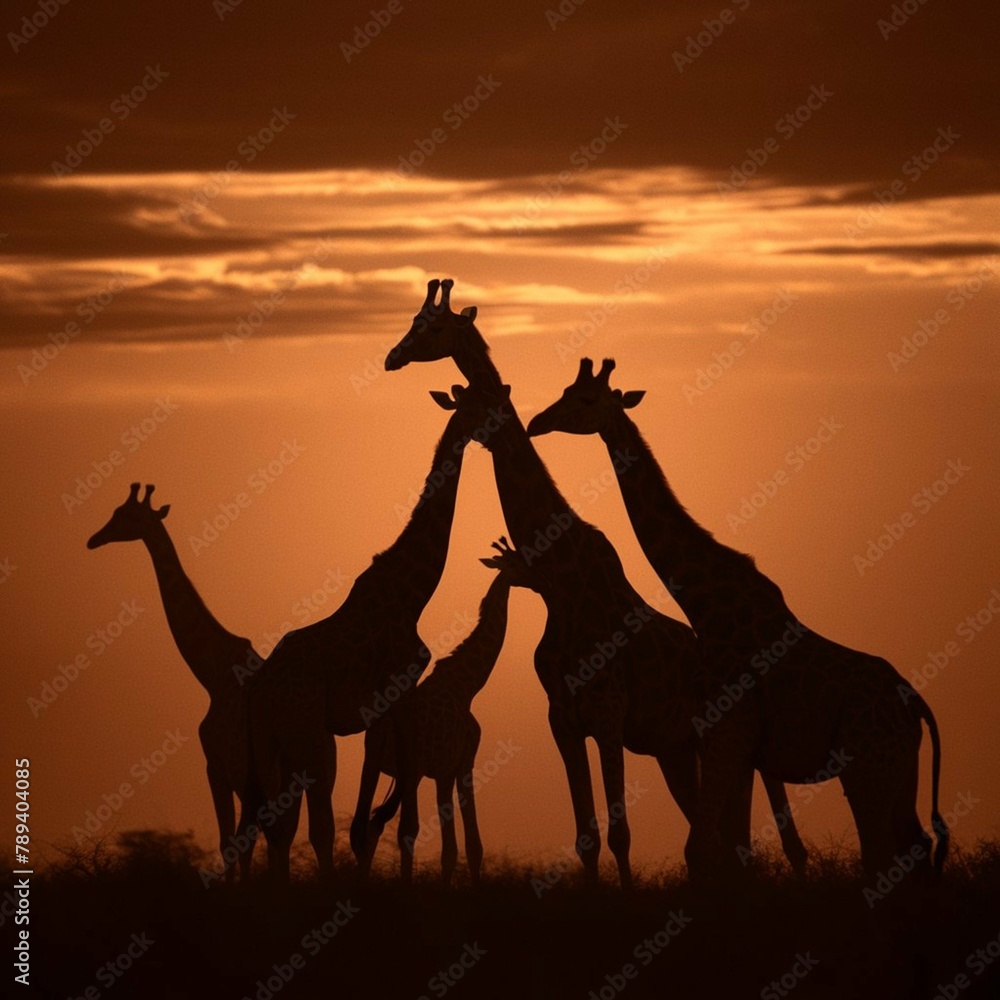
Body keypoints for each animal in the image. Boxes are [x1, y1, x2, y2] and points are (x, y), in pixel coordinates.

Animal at [87, 483, 259, 885]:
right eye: (115, 510)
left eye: (125, 515)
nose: (93, 539)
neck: (213, 675)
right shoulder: (222, 769)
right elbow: (231, 842)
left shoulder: (223, 764)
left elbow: (233, 843)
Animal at [248, 388, 480, 881]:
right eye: (476, 402)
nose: (501, 417)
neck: (414, 594)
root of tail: (259, 689)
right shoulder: (397, 691)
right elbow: (395, 814)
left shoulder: (380, 709)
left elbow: (368, 817)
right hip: (307, 738)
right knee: (308, 825)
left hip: (274, 744)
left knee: (278, 826)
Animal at [356, 537, 521, 885]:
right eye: (515, 560)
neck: (467, 685)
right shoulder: (464, 762)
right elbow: (473, 845)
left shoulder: (442, 772)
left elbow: (451, 850)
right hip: (410, 768)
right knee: (404, 828)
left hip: (375, 760)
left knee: (369, 824)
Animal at [383, 280, 808, 885]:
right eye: (412, 321)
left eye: (432, 327)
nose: (391, 357)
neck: (564, 586)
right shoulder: (563, 719)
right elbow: (587, 836)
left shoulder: (608, 715)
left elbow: (621, 833)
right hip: (676, 749)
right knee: (716, 835)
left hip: (717, 740)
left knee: (746, 823)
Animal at [526, 357, 948, 879]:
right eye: (565, 391)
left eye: (585, 400)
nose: (536, 422)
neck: (704, 605)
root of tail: (916, 705)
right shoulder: (734, 743)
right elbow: (734, 849)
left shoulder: (728, 732)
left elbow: (704, 850)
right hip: (898, 770)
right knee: (915, 846)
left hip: (869, 768)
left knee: (883, 856)